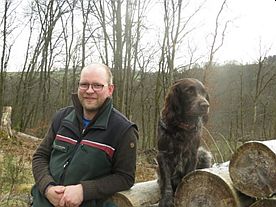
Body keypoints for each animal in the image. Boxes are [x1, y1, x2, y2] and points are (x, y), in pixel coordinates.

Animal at [157, 78, 211, 206]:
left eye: (204, 93)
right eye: (189, 91)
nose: (206, 105)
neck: (182, 127)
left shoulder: (192, 155)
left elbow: (187, 176)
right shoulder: (162, 155)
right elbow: (166, 181)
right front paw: (166, 200)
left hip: (204, 154)